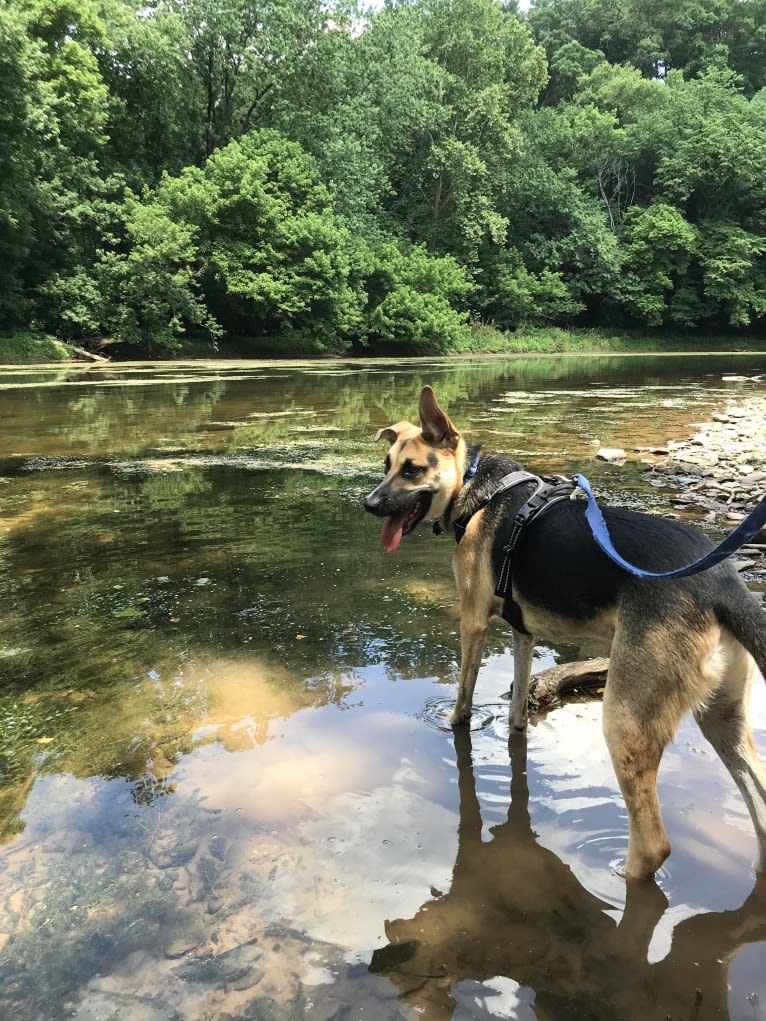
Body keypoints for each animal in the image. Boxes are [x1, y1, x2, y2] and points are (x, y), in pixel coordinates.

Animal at [363, 385, 766, 882]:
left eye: (412, 469)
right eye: (386, 464)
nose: (369, 504)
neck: (475, 488)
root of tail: (724, 584)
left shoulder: (472, 622)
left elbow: (462, 701)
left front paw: (452, 725)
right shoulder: (523, 635)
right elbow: (517, 713)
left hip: (626, 719)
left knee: (654, 844)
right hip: (723, 720)